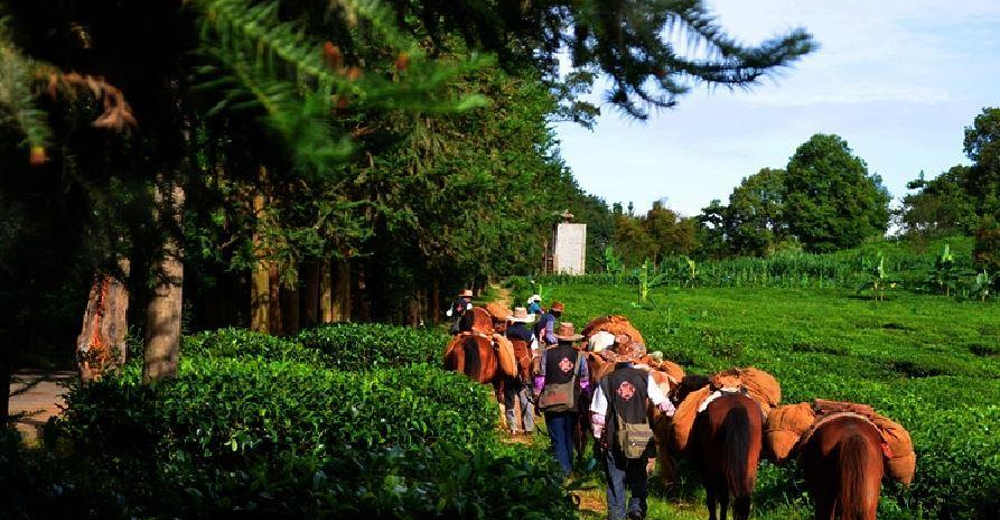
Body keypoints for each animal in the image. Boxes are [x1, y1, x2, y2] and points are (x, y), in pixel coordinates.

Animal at [692, 392, 760, 520]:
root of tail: (737, 406)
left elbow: (713, 500)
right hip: (749, 467)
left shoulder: (708, 473)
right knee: (744, 499)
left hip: (716, 469)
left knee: (722, 498)